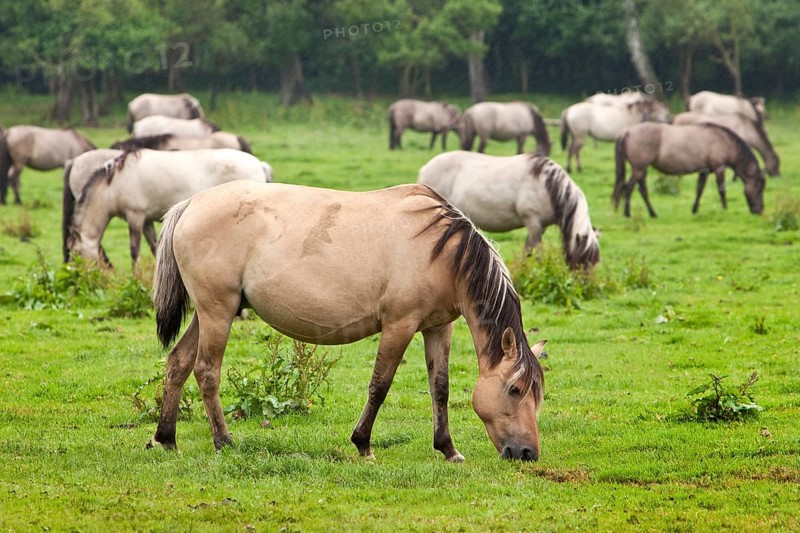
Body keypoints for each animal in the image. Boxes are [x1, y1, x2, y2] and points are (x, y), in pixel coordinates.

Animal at [67, 149, 273, 270]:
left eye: (76, 253)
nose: (81, 277)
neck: (115, 183)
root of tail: (259, 165)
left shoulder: (135, 217)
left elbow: (134, 250)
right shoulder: (146, 221)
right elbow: (154, 248)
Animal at [150, 181, 546, 461]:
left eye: (536, 394)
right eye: (514, 389)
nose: (527, 453)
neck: (441, 251)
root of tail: (190, 204)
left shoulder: (437, 327)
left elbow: (441, 388)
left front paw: (447, 449)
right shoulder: (399, 326)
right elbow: (380, 386)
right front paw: (363, 444)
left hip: (210, 313)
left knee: (179, 363)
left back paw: (165, 439)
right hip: (217, 312)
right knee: (207, 370)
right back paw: (223, 440)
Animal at [418, 152, 600, 270]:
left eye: (594, 262)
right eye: (581, 262)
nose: (585, 287)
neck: (546, 185)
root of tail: (425, 168)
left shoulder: (540, 226)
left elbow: (528, 251)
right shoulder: (533, 222)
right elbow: (536, 251)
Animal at [613, 123, 765, 218]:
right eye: (759, 189)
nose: (759, 211)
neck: (723, 141)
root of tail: (628, 132)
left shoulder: (704, 171)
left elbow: (699, 190)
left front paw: (694, 210)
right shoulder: (719, 169)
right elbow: (722, 191)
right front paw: (725, 209)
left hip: (642, 169)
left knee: (642, 190)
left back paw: (652, 213)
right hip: (639, 168)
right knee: (628, 188)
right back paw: (627, 213)